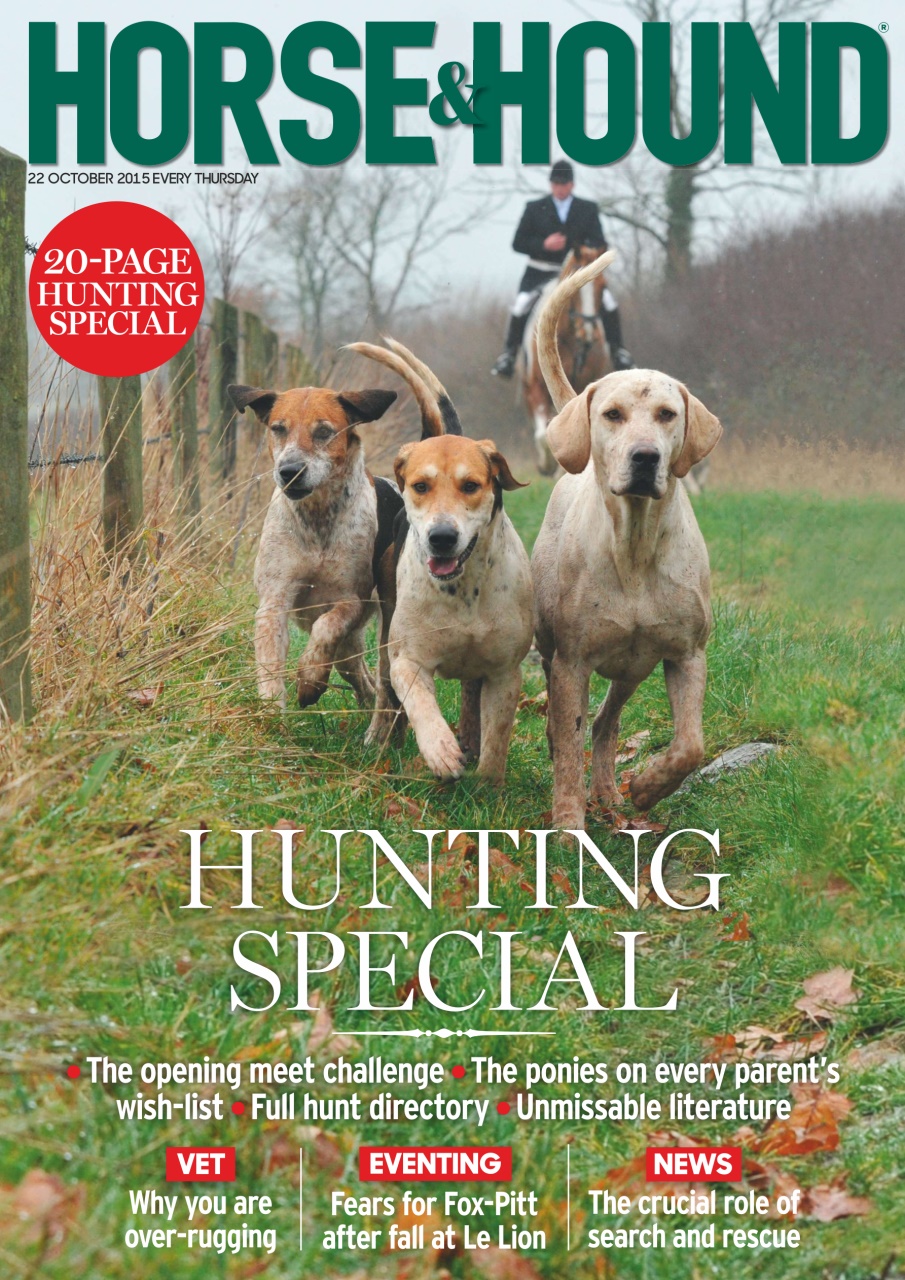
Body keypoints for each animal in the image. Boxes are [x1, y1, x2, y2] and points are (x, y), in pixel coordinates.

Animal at [521, 245, 613, 475]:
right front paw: (546, 463)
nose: (587, 333)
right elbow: (541, 436)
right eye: (578, 296)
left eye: (602, 288)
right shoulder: (535, 390)